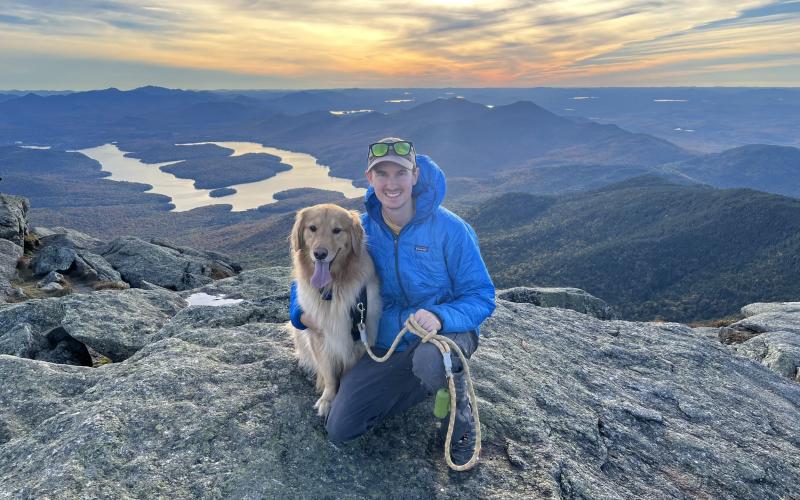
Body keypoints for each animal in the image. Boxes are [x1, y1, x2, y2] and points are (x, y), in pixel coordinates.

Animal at [290, 203, 382, 418]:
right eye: (312, 228)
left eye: (337, 230)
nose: (320, 254)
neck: (332, 289)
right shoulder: (318, 334)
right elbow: (329, 374)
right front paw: (327, 398)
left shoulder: (361, 337)